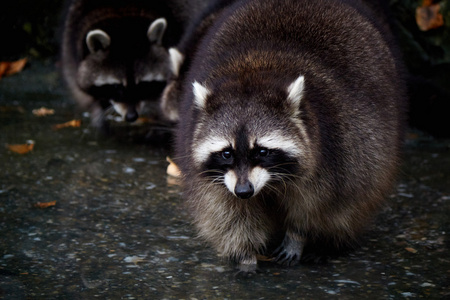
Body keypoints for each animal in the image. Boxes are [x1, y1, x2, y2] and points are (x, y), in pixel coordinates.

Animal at [60, 0, 210, 130]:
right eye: (116, 86)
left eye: (142, 85)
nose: (131, 117)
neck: (122, 11)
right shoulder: (71, 38)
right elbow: (77, 83)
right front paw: (96, 109)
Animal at [174, 0, 406, 274]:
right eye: (227, 153)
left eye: (262, 151)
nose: (244, 191)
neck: (254, 71)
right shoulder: (213, 175)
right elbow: (229, 213)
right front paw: (245, 253)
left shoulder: (334, 150)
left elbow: (315, 207)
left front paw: (298, 236)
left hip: (368, 142)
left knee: (349, 205)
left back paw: (330, 243)